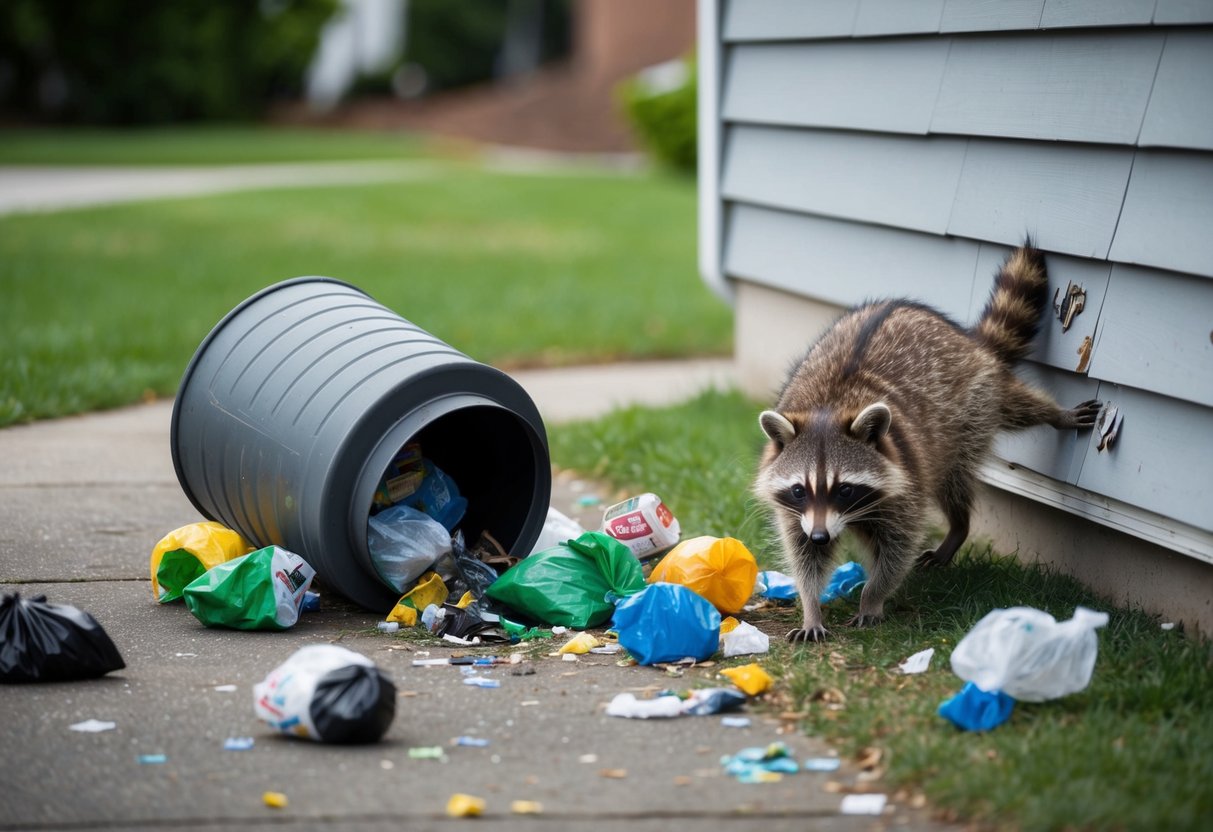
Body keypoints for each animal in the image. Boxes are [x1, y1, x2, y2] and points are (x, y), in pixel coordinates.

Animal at [753, 242, 1101, 642]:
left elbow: (898, 549)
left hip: (974, 405)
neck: (831, 407)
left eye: (845, 489)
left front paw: (872, 597)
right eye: (799, 489)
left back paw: (965, 518)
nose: (822, 536)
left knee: (976, 454)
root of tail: (967, 340)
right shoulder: (799, 512)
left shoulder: (906, 480)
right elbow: (803, 555)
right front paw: (811, 607)